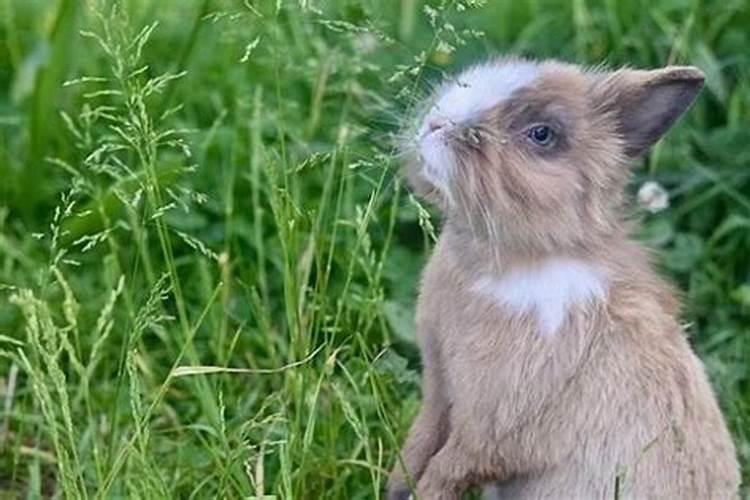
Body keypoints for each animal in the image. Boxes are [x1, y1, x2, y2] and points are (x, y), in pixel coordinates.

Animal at [390, 58, 744, 500]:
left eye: (542, 134)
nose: (436, 123)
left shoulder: (489, 428)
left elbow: (445, 471)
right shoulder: (439, 389)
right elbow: (417, 445)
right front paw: (392, 487)